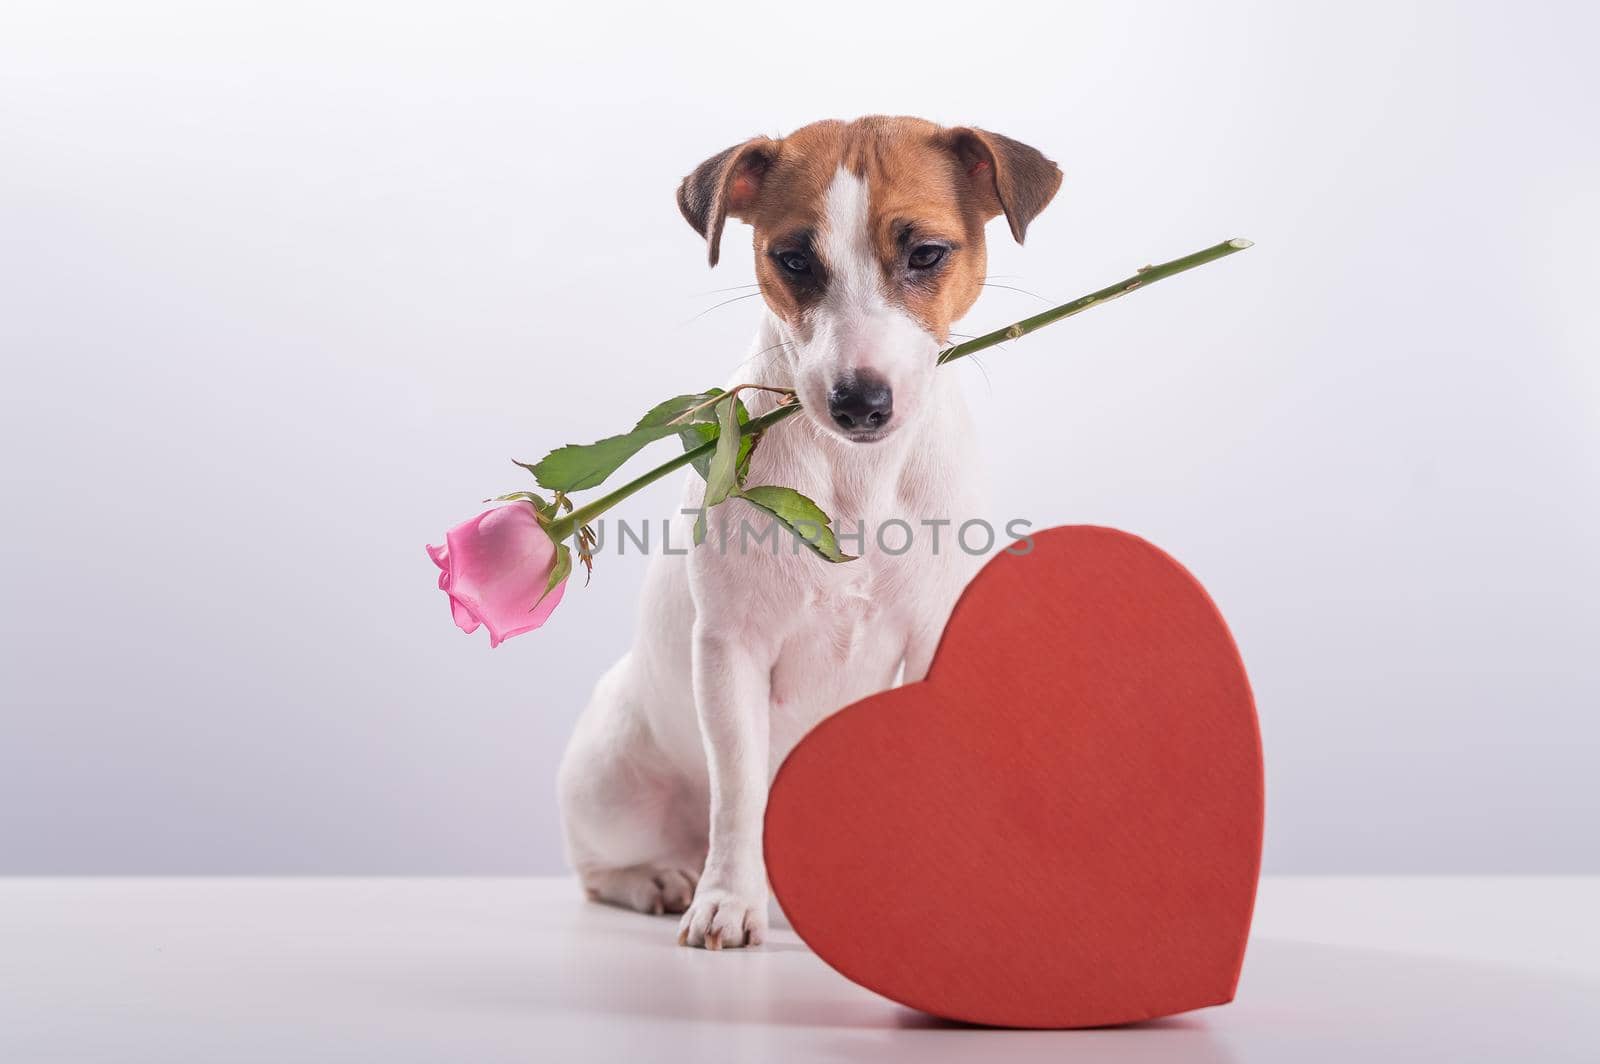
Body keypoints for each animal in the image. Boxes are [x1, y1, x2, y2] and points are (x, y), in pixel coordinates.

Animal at [560, 114, 1062, 947]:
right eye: (793, 259)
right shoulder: (732, 651)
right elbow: (738, 791)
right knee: (603, 867)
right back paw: (663, 879)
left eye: (927, 254)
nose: (860, 402)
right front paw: (728, 900)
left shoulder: (930, 642)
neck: (856, 477)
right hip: (612, 776)